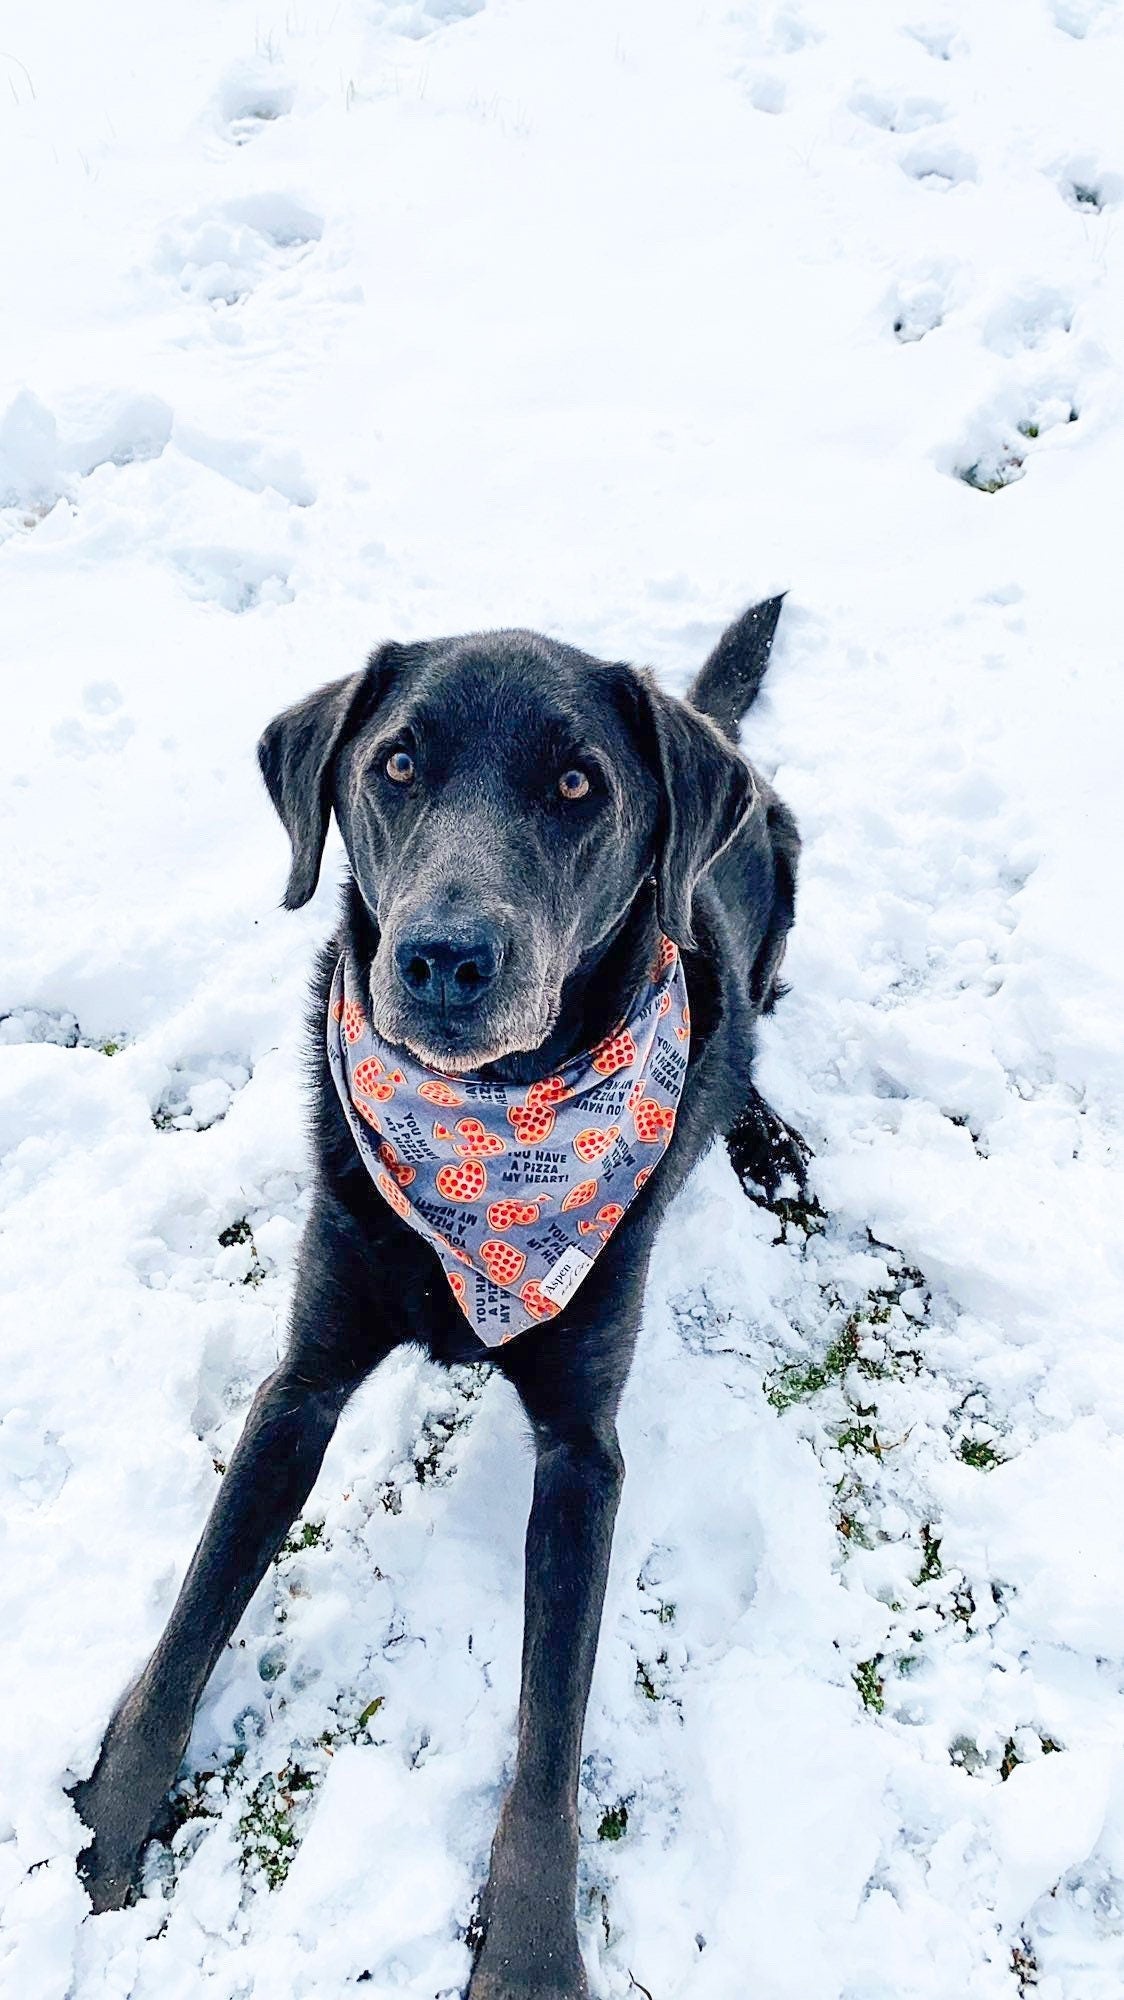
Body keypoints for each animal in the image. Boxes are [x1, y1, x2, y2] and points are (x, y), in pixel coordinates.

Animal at [74, 596, 800, 2000]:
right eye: (396, 764)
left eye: (578, 783)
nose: (444, 957)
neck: (489, 1133)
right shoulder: (300, 1380)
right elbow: (197, 1606)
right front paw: (104, 1824)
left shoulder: (582, 1451)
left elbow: (548, 1740)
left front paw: (527, 1957)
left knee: (754, 1024)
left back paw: (768, 1138)